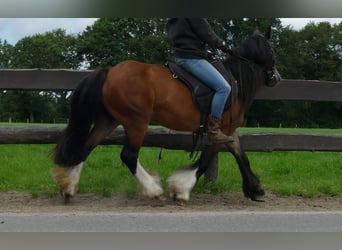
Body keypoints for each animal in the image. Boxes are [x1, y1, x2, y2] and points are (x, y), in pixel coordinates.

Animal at [50, 27, 280, 205]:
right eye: (272, 49)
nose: (276, 78)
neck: (235, 80)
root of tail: (110, 72)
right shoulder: (221, 131)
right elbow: (206, 161)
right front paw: (182, 189)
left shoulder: (229, 131)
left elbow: (242, 155)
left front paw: (256, 190)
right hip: (136, 122)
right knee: (129, 155)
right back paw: (153, 190)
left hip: (109, 121)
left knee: (86, 148)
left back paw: (68, 188)